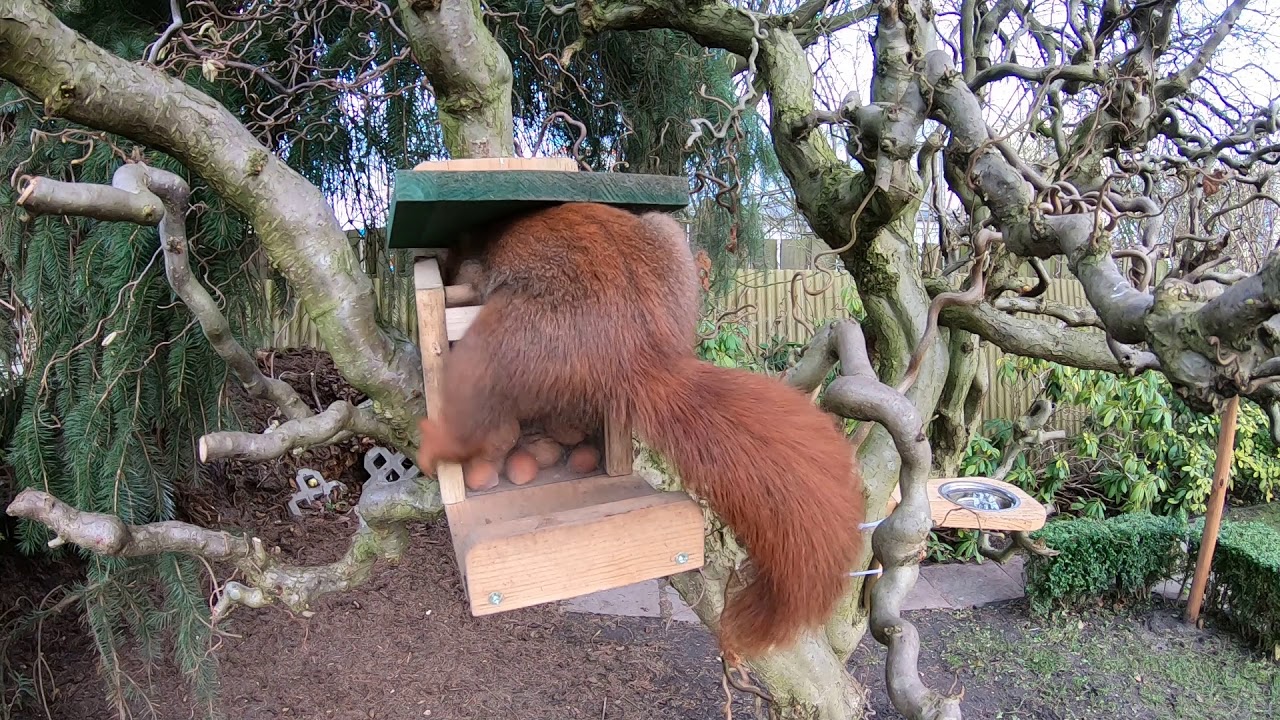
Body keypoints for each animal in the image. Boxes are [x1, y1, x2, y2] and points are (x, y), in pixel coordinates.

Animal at [417, 202, 865, 660]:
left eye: (449, 259)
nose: (442, 264)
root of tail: (638, 350)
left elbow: (471, 277)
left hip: (507, 340)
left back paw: (435, 446)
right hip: (667, 242)